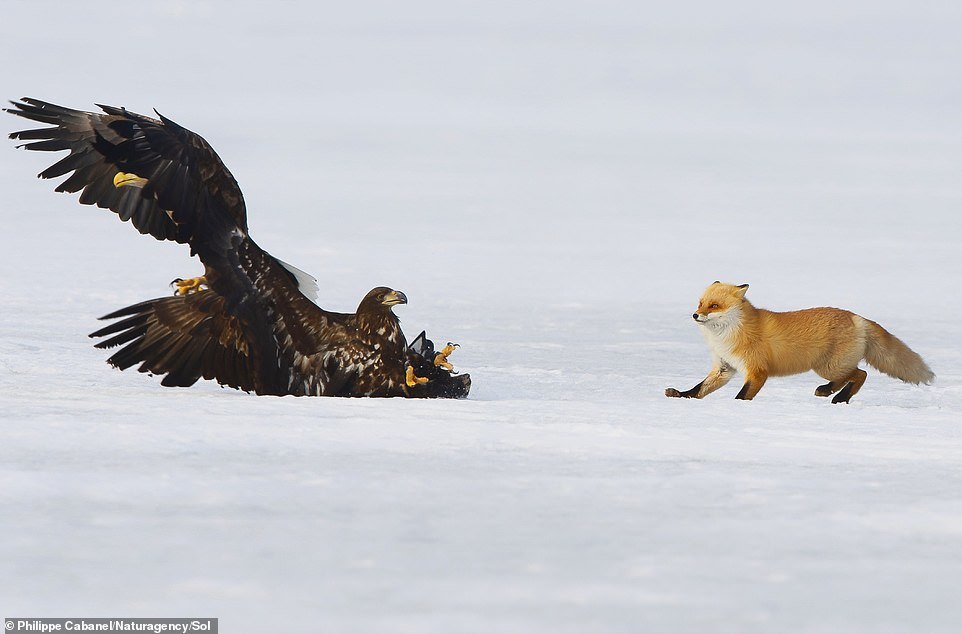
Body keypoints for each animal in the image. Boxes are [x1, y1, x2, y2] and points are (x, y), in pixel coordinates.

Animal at [664, 280, 932, 400]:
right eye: (700, 303)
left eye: (714, 306)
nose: (695, 315)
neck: (726, 337)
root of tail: (856, 316)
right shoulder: (724, 368)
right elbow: (699, 389)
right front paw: (681, 394)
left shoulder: (757, 370)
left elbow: (742, 395)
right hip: (829, 366)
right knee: (853, 375)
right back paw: (829, 391)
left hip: (828, 366)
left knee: (861, 374)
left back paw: (838, 397)